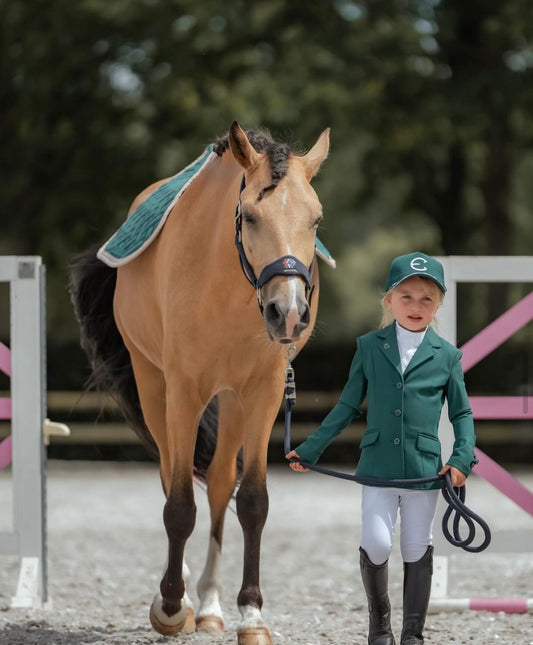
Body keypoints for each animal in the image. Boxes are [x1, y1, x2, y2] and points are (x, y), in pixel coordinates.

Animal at [70, 122, 328, 644]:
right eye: (250, 216)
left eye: (316, 220)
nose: (289, 313)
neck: (229, 288)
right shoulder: (183, 392)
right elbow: (178, 505)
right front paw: (170, 605)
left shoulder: (264, 393)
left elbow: (251, 500)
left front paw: (251, 615)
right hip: (154, 386)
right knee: (172, 473)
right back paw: (185, 598)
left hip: (229, 399)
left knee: (219, 482)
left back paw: (209, 604)